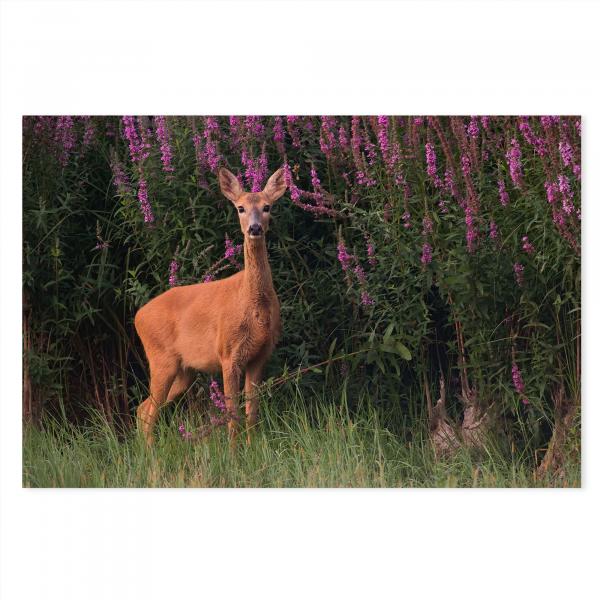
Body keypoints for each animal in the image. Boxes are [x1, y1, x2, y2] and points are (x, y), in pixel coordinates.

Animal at [135, 166, 288, 442]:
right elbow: (233, 413)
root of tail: (137, 317)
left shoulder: (260, 355)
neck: (252, 305)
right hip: (161, 359)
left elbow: (252, 411)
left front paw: (253, 446)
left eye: (267, 206)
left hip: (184, 371)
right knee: (149, 412)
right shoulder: (227, 353)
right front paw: (235, 450)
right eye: (240, 208)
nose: (255, 228)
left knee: (143, 408)